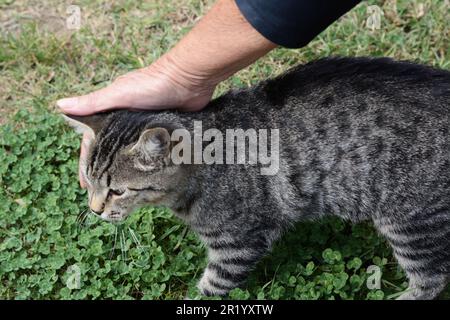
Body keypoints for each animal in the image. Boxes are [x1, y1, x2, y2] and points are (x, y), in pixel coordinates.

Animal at [62, 56, 450, 298]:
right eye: (90, 181)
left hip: (411, 222)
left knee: (433, 278)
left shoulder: (238, 241)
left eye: (117, 191)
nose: (94, 210)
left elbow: (211, 286)